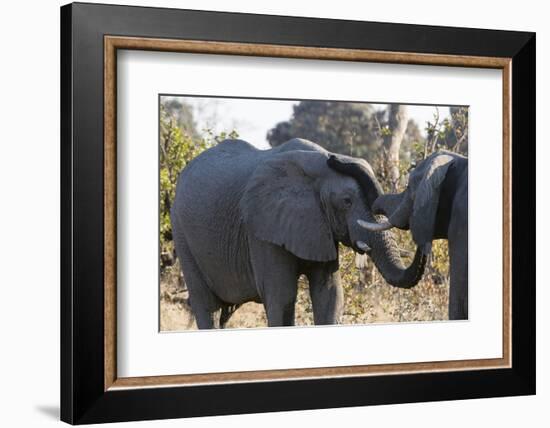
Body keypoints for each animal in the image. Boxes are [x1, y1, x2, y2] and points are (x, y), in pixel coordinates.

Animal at [170, 138, 430, 328]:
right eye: (346, 202)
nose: (337, 158)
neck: (315, 165)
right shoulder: (261, 229)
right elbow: (282, 296)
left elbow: (330, 295)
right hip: (182, 234)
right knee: (207, 305)